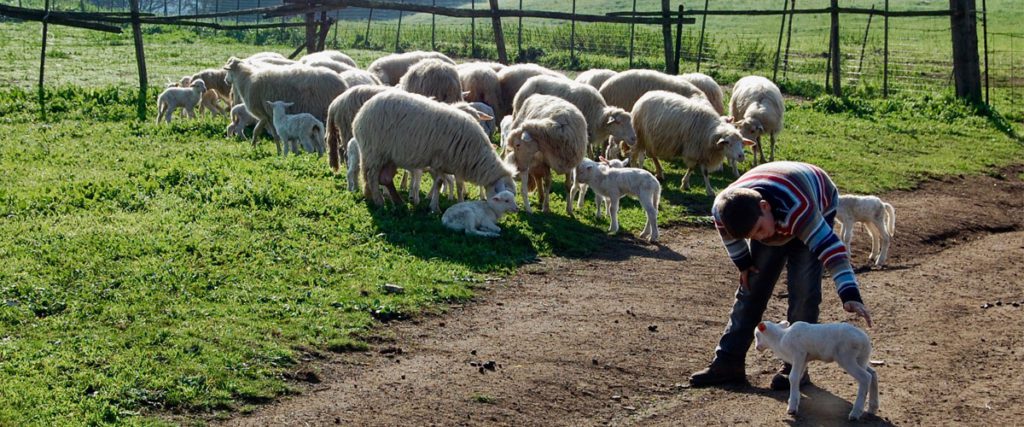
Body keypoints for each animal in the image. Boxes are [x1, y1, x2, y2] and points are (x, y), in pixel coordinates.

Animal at [352, 89, 516, 210]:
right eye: (504, 198)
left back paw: (393, 200)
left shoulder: (454, 165)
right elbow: (439, 182)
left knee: (384, 178)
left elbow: (453, 185)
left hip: (386, 156)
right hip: (374, 151)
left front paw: (458, 203)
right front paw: (435, 207)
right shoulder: (439, 161)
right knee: (372, 176)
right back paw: (379, 201)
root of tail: (360, 113)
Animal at [626, 91, 757, 196]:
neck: (710, 131)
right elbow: (694, 168)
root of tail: (644, 96)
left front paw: (708, 190)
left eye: (741, 143)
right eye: (728, 143)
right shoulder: (693, 150)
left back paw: (659, 172)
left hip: (652, 139)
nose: (741, 156)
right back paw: (635, 169)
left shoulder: (703, 152)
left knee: (652, 154)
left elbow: (704, 172)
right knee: (634, 154)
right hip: (640, 136)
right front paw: (685, 184)